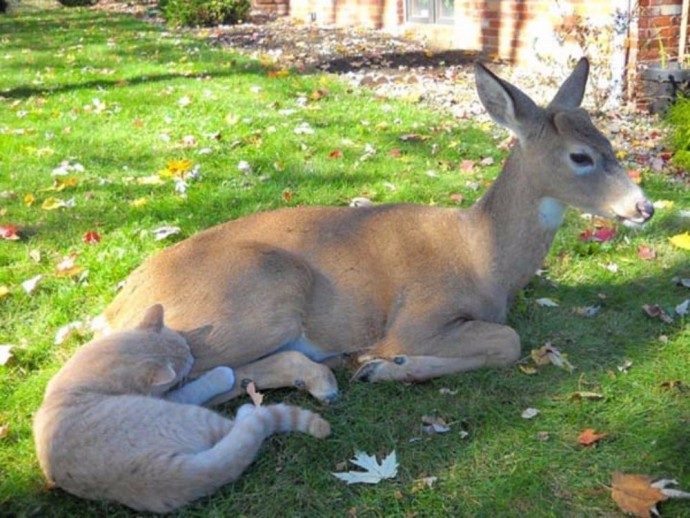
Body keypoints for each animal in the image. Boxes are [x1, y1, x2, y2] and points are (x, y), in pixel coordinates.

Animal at [33, 306, 330, 512]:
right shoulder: (176, 397)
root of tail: (151, 474)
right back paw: (247, 409)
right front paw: (222, 373)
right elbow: (198, 387)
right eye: (186, 363)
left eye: (187, 348)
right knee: (242, 428)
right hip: (195, 417)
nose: (193, 357)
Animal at [95, 60, 652, 406]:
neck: (483, 258)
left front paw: (375, 364)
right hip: (260, 294)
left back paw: (321, 376)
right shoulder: (418, 314)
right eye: (580, 156)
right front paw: (385, 364)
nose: (644, 207)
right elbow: (507, 341)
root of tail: (116, 307)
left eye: (609, 143)